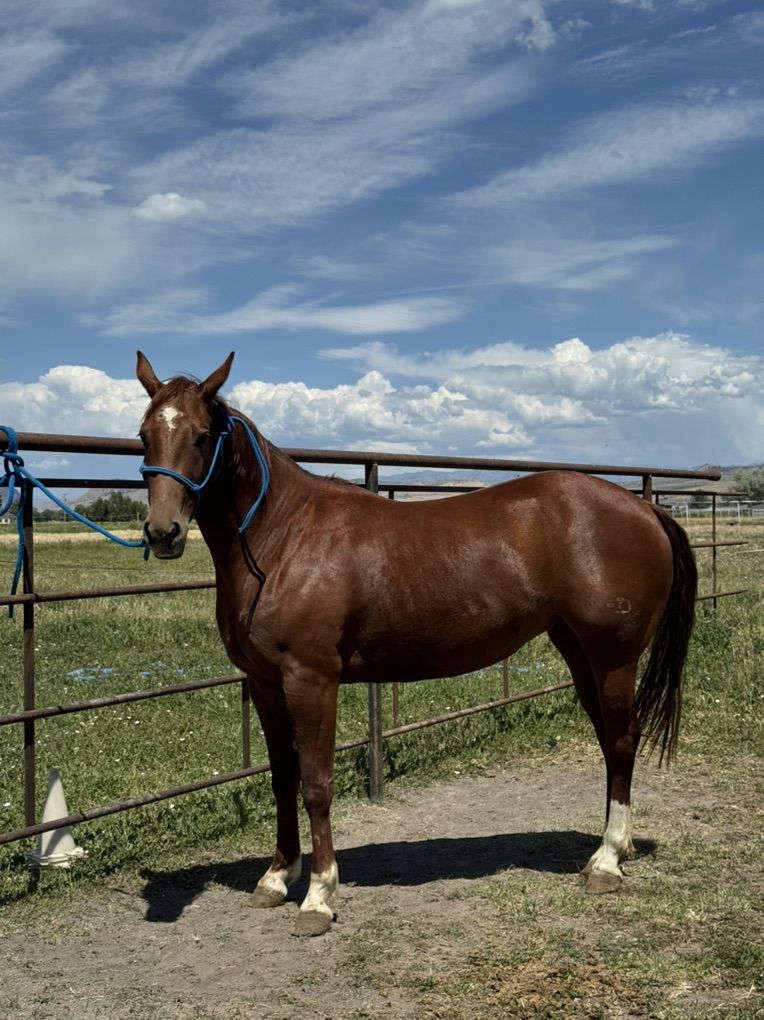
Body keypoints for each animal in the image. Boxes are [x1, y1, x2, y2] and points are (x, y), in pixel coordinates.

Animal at [136, 351, 697, 937]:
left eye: (202, 436)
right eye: (144, 436)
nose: (163, 533)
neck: (284, 539)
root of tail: (644, 510)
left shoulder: (311, 680)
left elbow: (316, 782)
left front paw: (318, 897)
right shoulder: (266, 682)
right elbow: (284, 777)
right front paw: (276, 877)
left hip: (614, 658)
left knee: (622, 741)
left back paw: (607, 861)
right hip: (579, 652)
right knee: (611, 741)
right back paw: (613, 849)